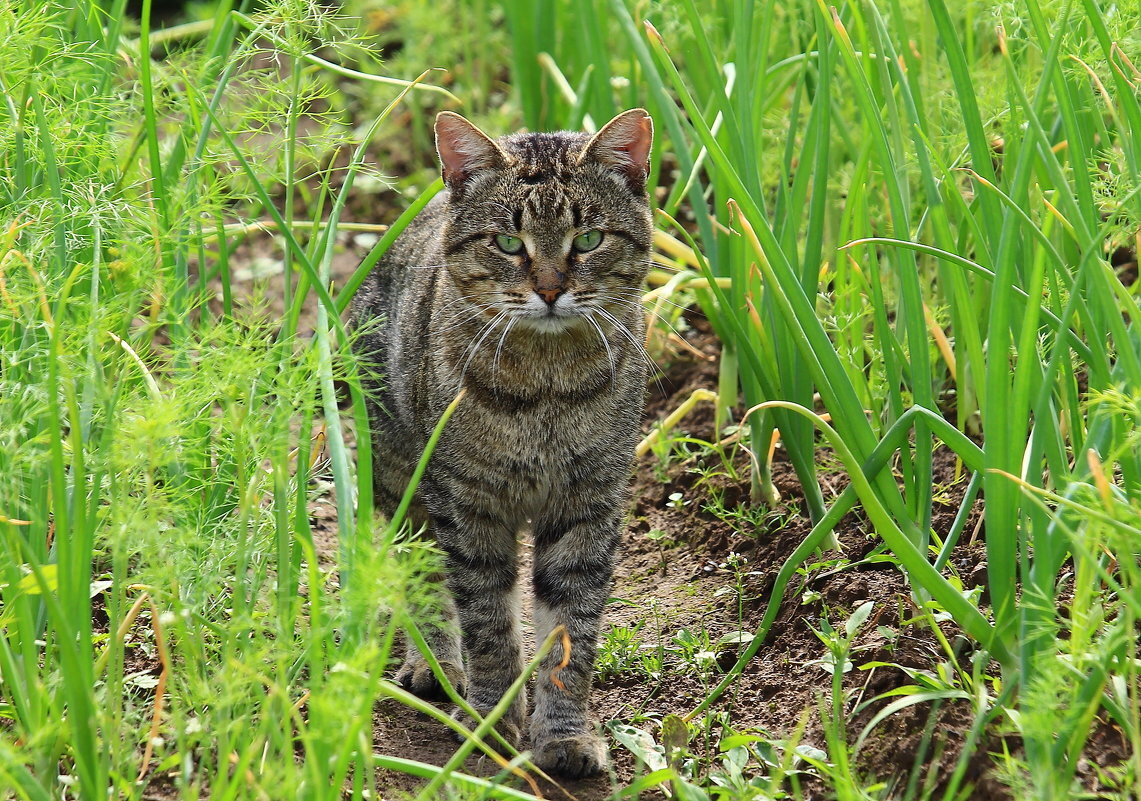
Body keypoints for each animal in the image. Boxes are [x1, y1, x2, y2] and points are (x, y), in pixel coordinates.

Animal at [346, 108, 652, 775]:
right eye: (509, 243)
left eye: (588, 239)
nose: (550, 289)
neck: (545, 389)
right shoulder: (467, 505)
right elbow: (488, 624)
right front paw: (489, 724)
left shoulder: (588, 505)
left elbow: (569, 633)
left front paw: (563, 736)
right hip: (402, 481)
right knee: (425, 576)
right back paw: (436, 666)